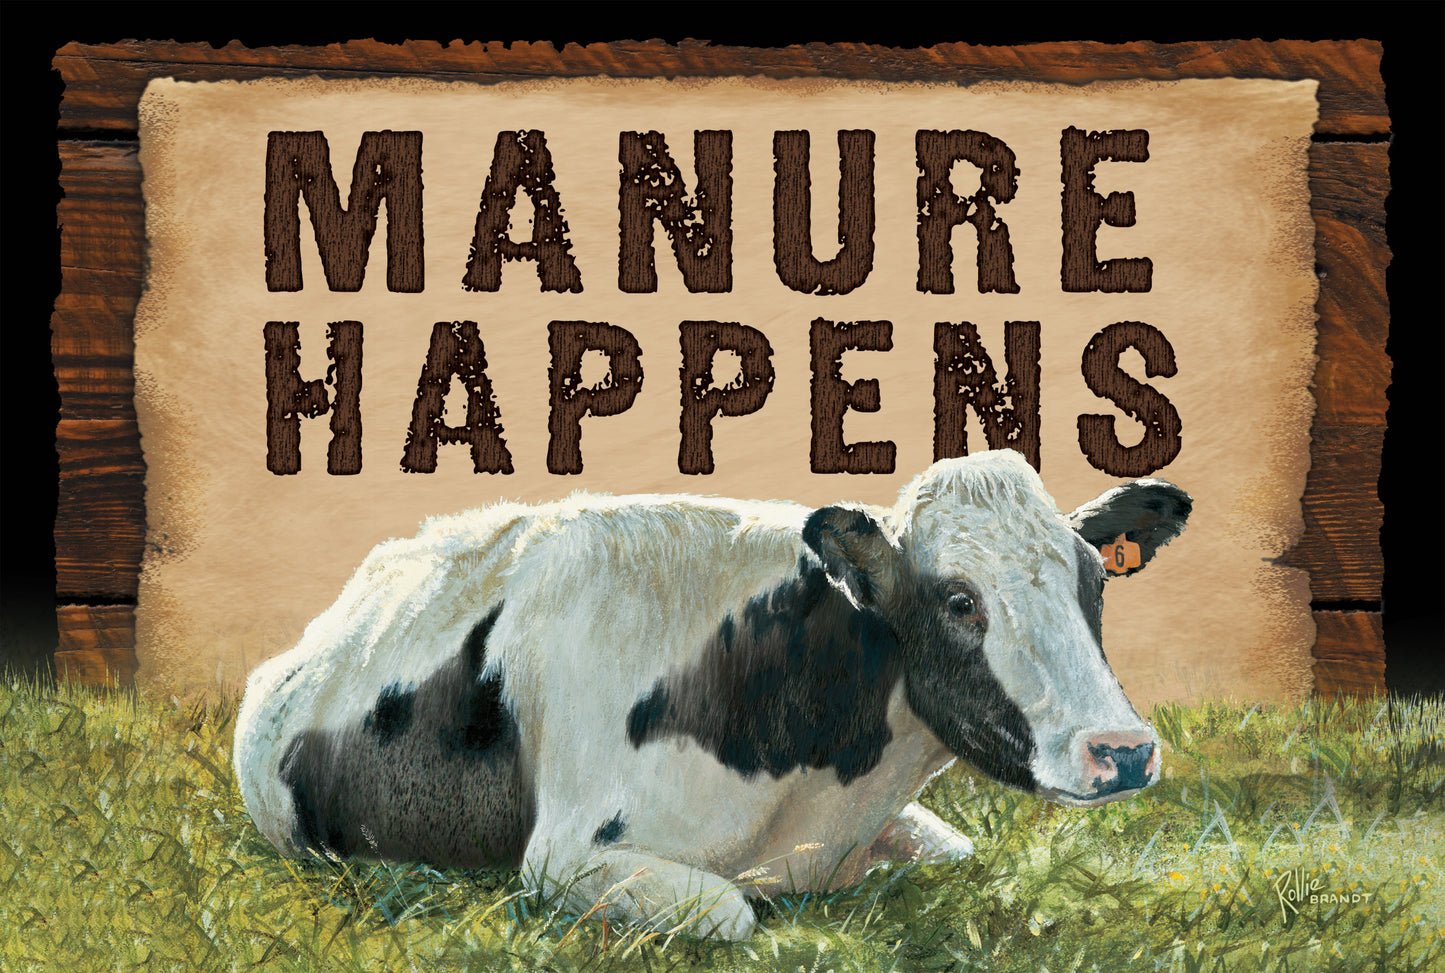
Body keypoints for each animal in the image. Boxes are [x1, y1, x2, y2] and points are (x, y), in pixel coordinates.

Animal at [233, 450, 1190, 940]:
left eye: (1095, 580)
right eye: (959, 601)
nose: (1122, 749)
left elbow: (955, 852)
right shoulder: (565, 855)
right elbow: (731, 914)